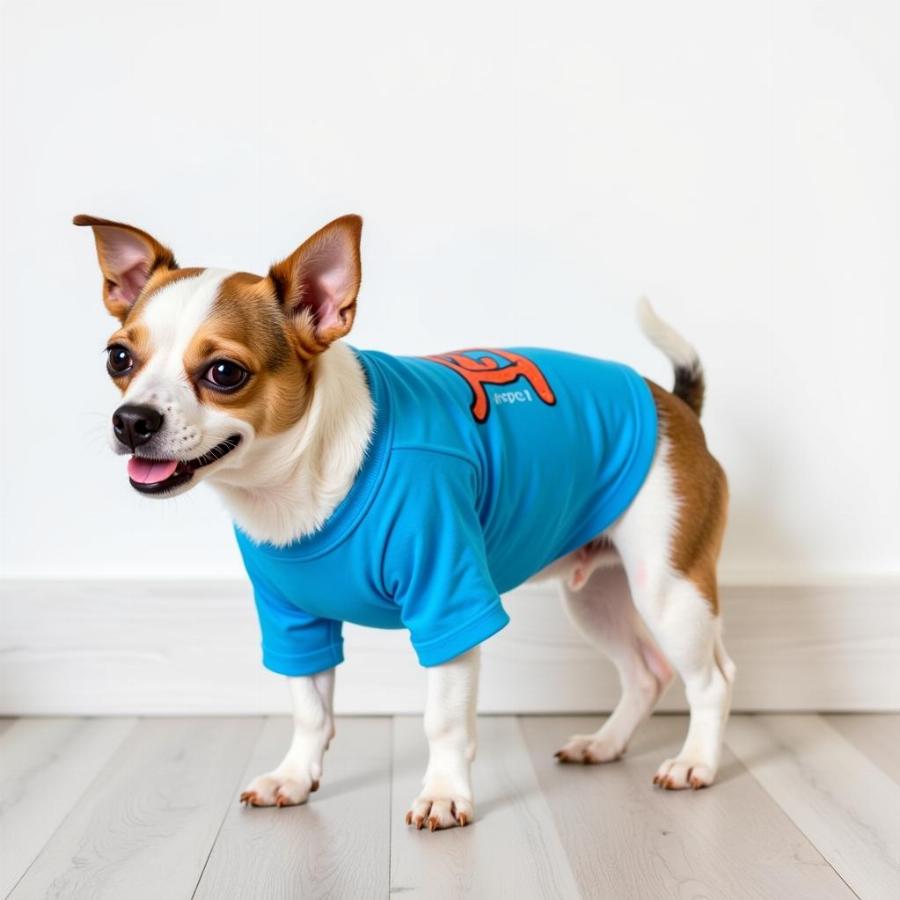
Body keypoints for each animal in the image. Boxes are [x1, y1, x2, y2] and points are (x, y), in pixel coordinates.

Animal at [77, 211, 736, 828]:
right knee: (646, 674)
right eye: (118, 357)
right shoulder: (293, 620)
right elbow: (309, 709)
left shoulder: (449, 604)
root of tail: (674, 403)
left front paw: (443, 795)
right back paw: (604, 743)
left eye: (224, 373)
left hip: (669, 591)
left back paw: (695, 763)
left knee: (712, 679)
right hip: (597, 596)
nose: (131, 420)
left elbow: (443, 719)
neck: (302, 476)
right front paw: (294, 777)